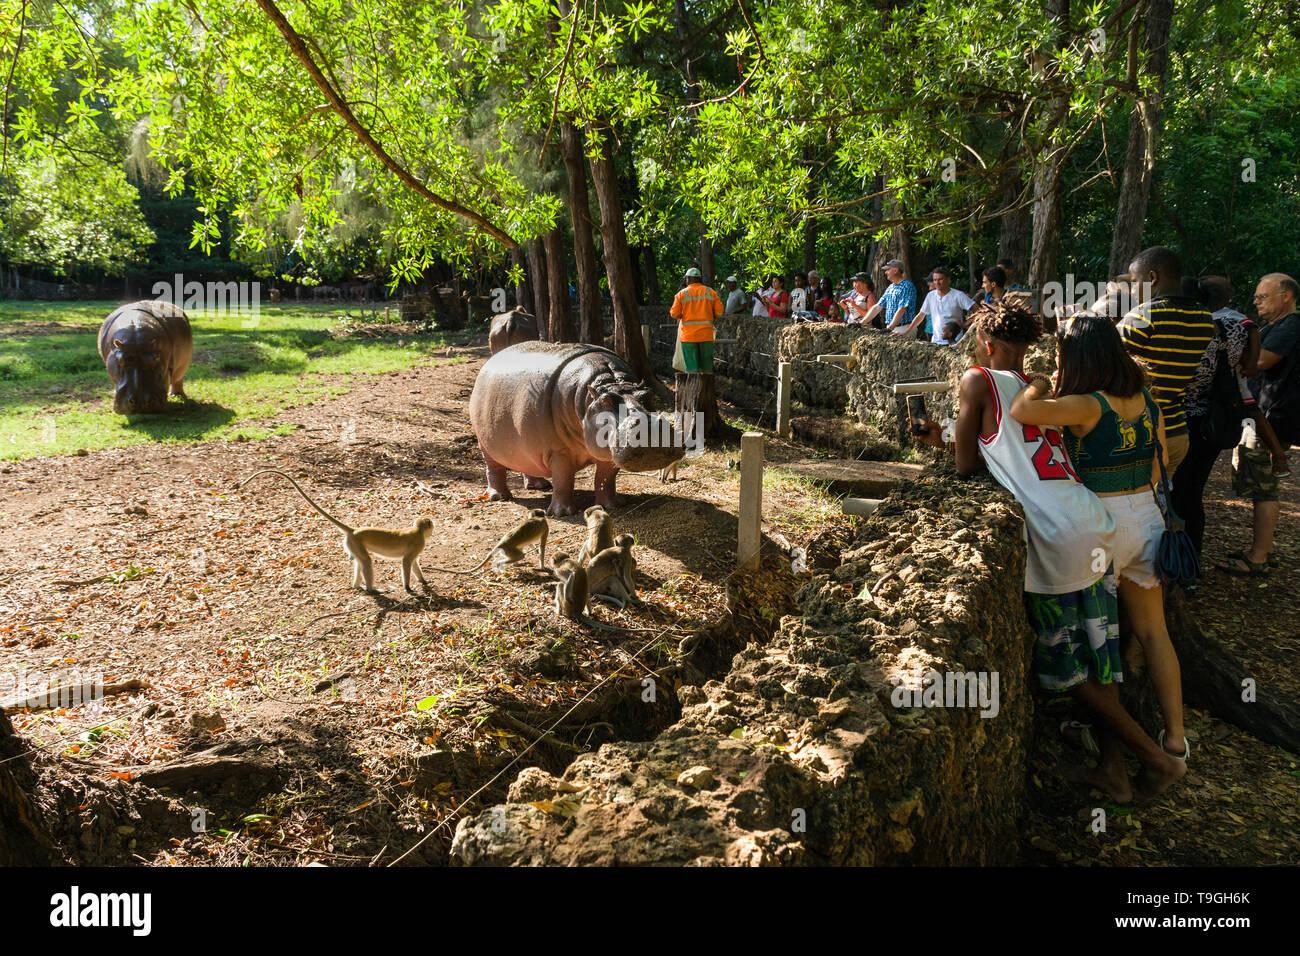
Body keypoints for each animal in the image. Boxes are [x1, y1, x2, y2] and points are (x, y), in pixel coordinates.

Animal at [236, 468, 434, 595]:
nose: (433, 528)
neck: (417, 531)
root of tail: (353, 530)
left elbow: (413, 563)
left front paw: (423, 581)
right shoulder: (418, 542)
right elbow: (407, 562)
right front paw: (408, 588)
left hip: (352, 544)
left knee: (361, 562)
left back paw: (358, 587)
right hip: (354, 543)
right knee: (366, 562)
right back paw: (371, 589)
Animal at [470, 343, 691, 515]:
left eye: (648, 394)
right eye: (606, 401)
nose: (652, 431)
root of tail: (491, 360)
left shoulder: (608, 452)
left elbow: (605, 478)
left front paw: (613, 505)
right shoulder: (559, 452)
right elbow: (563, 479)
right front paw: (563, 513)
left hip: (525, 445)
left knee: (527, 463)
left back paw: (539, 486)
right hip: (484, 443)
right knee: (494, 468)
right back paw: (498, 496)